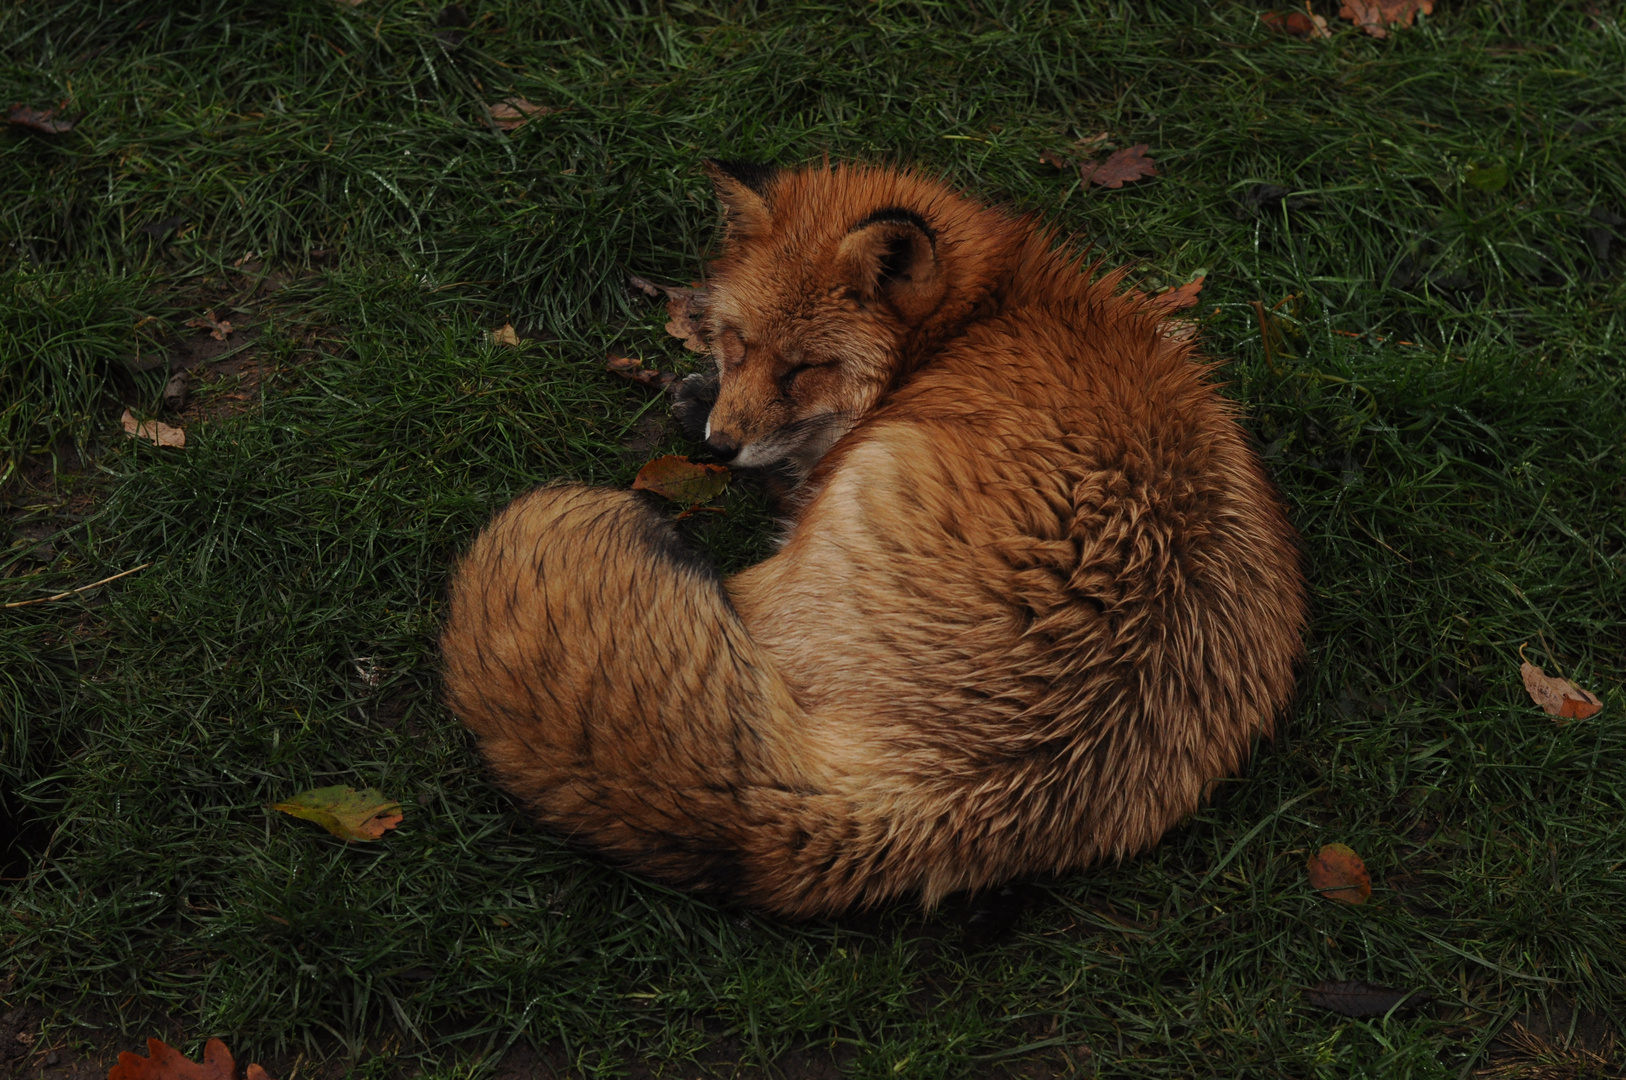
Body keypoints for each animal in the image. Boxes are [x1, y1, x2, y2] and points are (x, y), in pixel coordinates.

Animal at [435, 160, 1307, 917]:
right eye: (739, 343)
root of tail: (929, 799)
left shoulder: (832, 463)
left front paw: (705, 414)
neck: (969, 326)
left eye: (804, 368)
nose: (719, 446)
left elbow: (789, 467)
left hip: (836, 509)